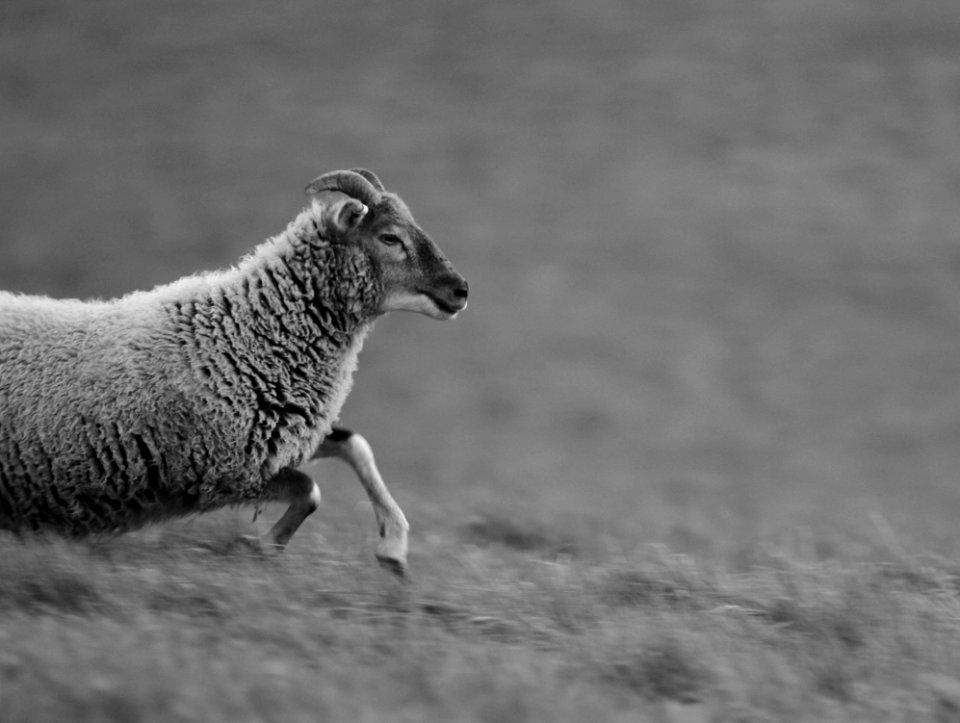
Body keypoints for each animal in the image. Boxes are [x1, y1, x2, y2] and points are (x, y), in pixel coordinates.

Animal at [0, 170, 468, 576]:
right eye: (390, 237)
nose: (461, 290)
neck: (247, 331)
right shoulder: (226, 469)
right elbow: (311, 492)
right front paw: (261, 547)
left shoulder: (276, 438)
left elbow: (356, 447)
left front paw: (394, 547)